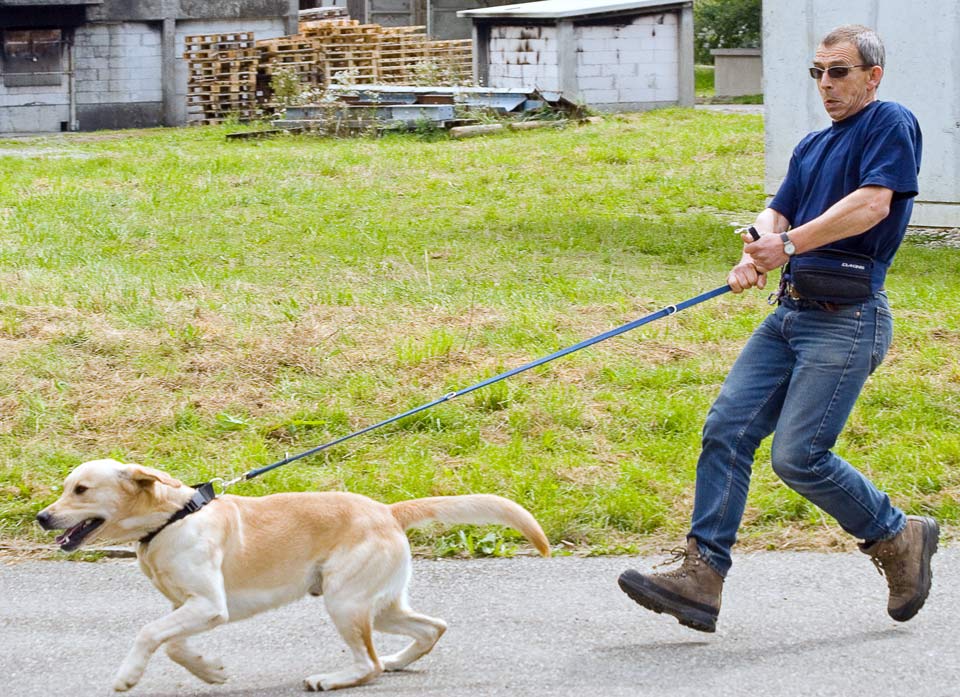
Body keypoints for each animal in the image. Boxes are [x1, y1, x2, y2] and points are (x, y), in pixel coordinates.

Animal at [37, 456, 552, 692]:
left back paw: (334, 678)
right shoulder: (190, 607)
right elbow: (175, 646)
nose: (42, 518)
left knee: (368, 664)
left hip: (344, 603)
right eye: (67, 487)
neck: (173, 518)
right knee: (431, 628)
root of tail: (388, 511)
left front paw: (127, 676)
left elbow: (148, 634)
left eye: (81, 490)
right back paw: (397, 660)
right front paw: (210, 670)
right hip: (378, 605)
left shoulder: (208, 606)